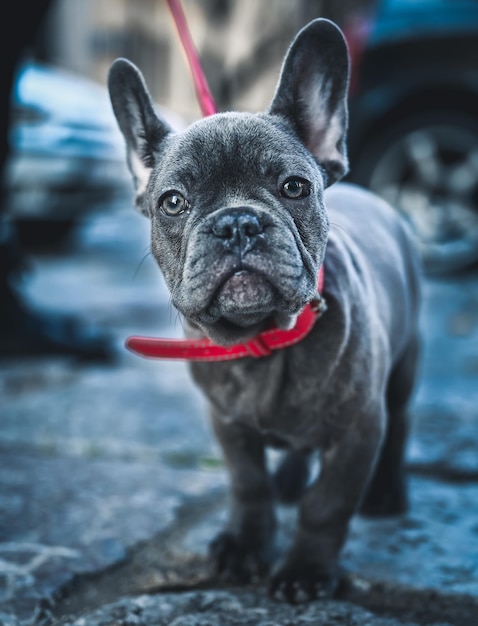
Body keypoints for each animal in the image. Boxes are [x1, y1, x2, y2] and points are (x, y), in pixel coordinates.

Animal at [108, 19, 418, 604]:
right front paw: (245, 546)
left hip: (407, 362)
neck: (262, 341)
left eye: (294, 187)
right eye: (173, 202)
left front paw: (305, 570)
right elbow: (248, 484)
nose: (237, 222)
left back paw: (386, 491)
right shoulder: (228, 425)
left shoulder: (358, 431)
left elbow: (327, 506)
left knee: (401, 421)